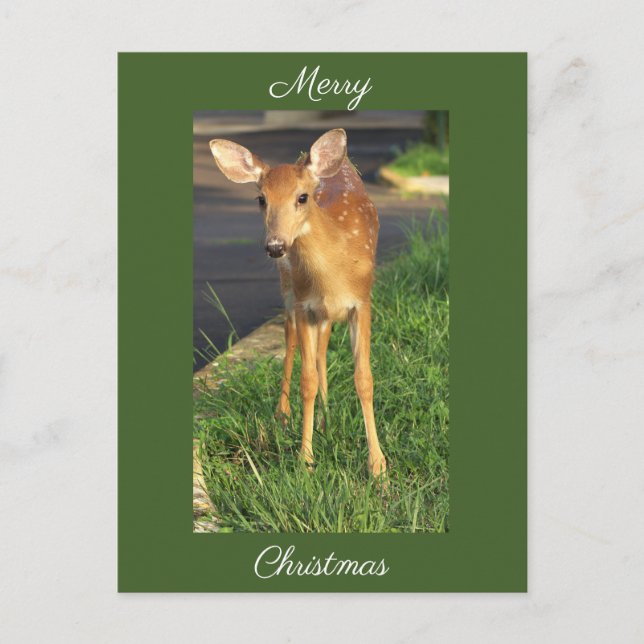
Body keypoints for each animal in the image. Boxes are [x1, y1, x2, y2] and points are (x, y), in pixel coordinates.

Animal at [208, 129, 387, 478]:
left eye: (303, 197)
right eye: (261, 199)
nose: (276, 246)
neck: (334, 271)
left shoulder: (361, 301)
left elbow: (364, 379)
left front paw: (378, 468)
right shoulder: (305, 305)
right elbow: (307, 380)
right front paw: (305, 460)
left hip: (324, 312)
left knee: (321, 350)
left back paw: (326, 418)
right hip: (289, 291)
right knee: (290, 339)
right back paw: (284, 414)